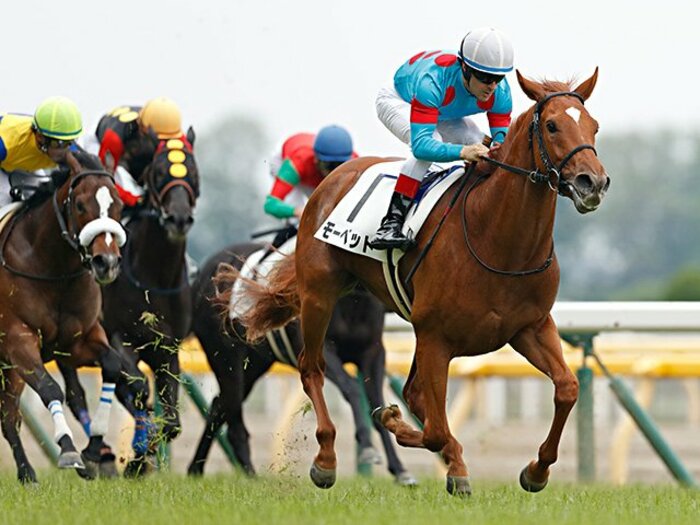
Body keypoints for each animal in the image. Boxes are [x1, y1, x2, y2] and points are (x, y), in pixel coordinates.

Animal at [0, 150, 126, 483]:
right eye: (80, 205)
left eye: (118, 205)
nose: (107, 262)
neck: (53, 269)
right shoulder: (17, 339)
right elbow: (49, 388)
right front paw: (69, 449)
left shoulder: (75, 343)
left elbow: (112, 365)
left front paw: (93, 450)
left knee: (8, 416)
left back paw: (27, 474)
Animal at [185, 242, 416, 485]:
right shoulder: (322, 350)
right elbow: (352, 388)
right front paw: (367, 448)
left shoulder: (373, 353)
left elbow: (377, 403)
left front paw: (400, 470)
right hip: (226, 359)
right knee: (232, 417)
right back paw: (249, 475)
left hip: (252, 366)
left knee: (218, 406)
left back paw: (196, 468)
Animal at [224, 70, 609, 495]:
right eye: (553, 125)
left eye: (594, 125)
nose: (593, 182)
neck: (497, 240)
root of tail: (333, 178)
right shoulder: (435, 337)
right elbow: (435, 429)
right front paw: (408, 434)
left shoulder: (530, 327)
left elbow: (567, 388)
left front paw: (536, 470)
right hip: (319, 296)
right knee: (313, 367)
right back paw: (325, 459)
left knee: (411, 394)